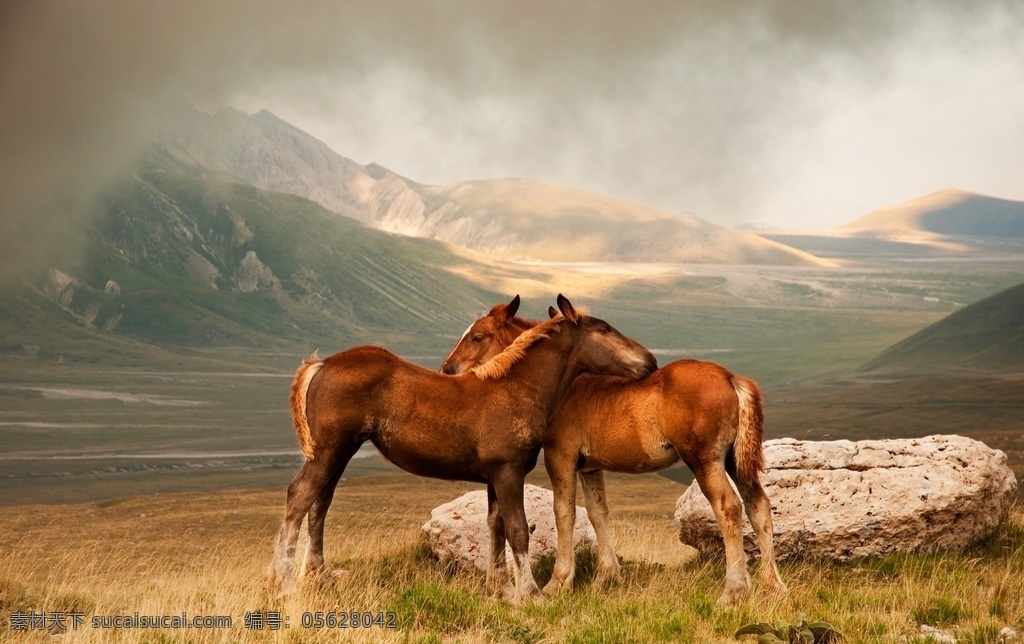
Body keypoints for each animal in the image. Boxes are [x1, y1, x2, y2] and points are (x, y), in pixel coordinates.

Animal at [272, 294, 655, 602]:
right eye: (604, 329)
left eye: (478, 336)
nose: (650, 359)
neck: (516, 388)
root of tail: (321, 364)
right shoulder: (508, 472)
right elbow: (517, 531)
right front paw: (530, 595)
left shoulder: (494, 476)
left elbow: (496, 525)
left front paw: (502, 590)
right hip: (330, 451)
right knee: (300, 495)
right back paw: (284, 583)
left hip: (339, 453)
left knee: (320, 503)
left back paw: (318, 576)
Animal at [440, 296, 782, 602]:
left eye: (477, 336)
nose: (447, 370)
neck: (565, 386)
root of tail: (731, 378)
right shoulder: (590, 466)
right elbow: (598, 513)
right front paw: (606, 577)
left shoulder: (560, 456)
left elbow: (564, 512)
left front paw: (558, 582)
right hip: (735, 461)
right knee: (759, 506)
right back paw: (773, 587)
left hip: (704, 460)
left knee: (729, 507)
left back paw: (734, 590)